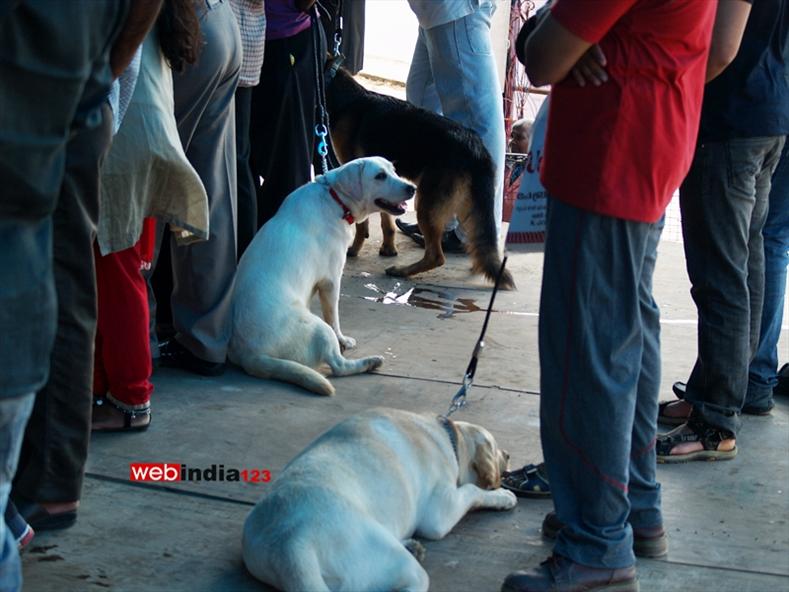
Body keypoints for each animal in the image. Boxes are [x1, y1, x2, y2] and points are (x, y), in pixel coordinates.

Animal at [226, 158, 416, 398]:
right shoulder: (331, 281)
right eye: (380, 176)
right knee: (339, 365)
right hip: (319, 329)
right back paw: (370, 362)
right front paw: (343, 340)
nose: (413, 188)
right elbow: (333, 317)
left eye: (393, 170)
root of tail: (250, 355)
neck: (335, 198)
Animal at [245, 408, 516, 592]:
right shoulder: (441, 512)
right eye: (495, 446)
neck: (450, 436)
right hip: (394, 561)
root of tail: (291, 545)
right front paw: (502, 496)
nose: (508, 454)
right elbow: (473, 491)